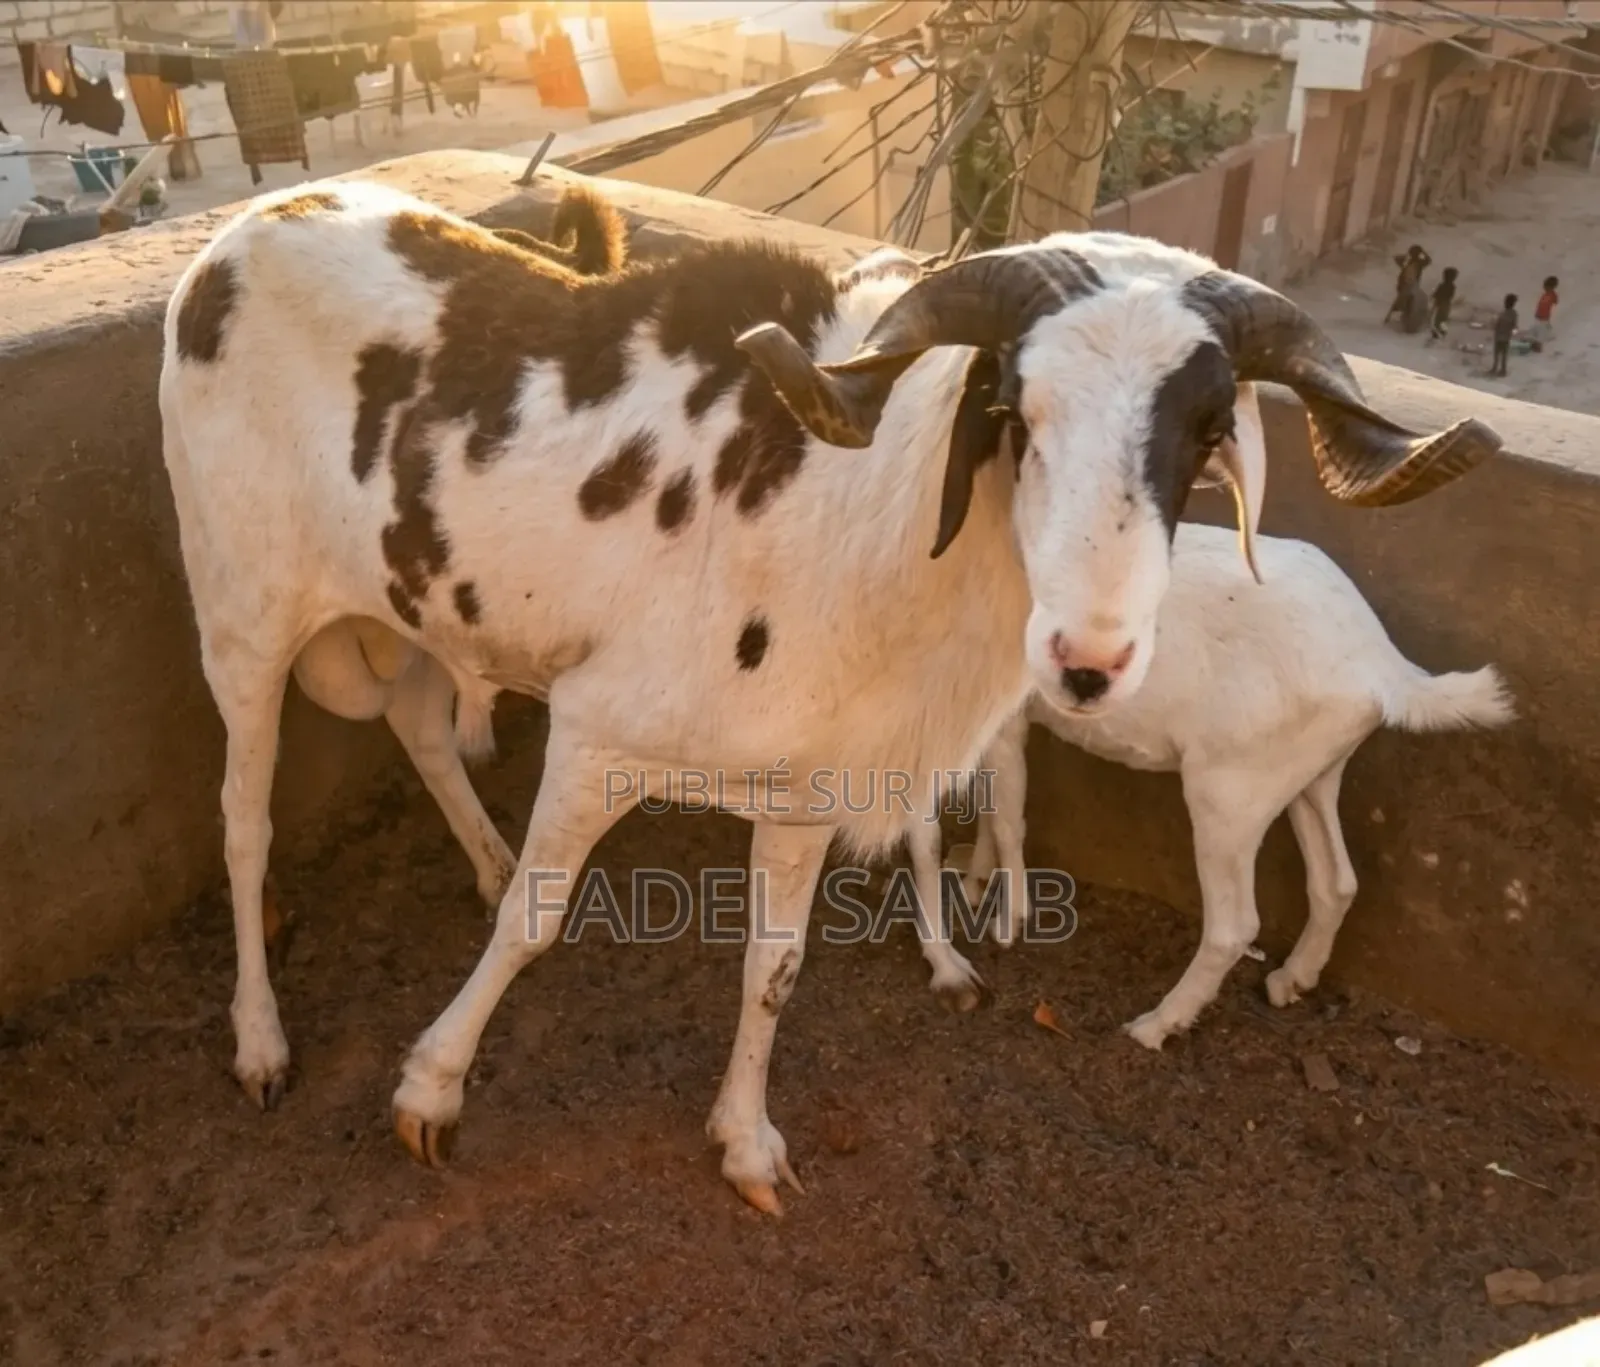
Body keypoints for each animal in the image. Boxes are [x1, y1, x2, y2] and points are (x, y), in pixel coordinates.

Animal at [941, 520, 1515, 1050]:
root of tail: (1382, 665)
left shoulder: (1004, 713)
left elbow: (1007, 815)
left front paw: (1008, 922)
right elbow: (991, 805)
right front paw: (972, 885)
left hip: (1229, 790)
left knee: (1233, 926)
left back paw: (1157, 1025)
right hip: (1311, 771)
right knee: (1336, 881)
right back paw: (1291, 980)